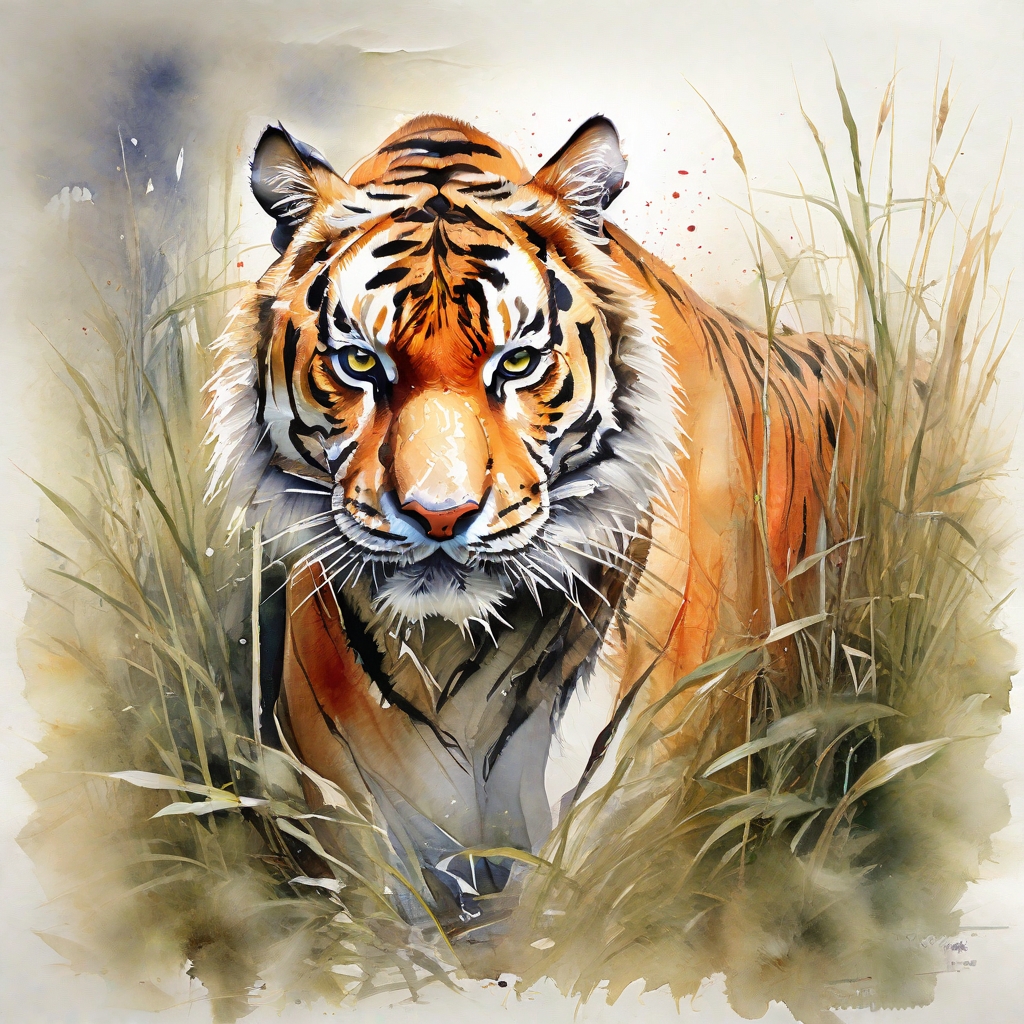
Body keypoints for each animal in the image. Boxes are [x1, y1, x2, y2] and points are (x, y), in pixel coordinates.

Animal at [205, 114, 871, 921]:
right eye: (361, 363)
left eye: (517, 363)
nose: (440, 517)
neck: (452, 665)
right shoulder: (365, 853)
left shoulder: (624, 844)